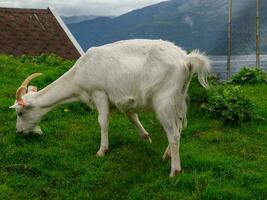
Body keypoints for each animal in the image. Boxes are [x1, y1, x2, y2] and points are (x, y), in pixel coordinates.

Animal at [9, 39, 211, 177]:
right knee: (178, 127)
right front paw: (146, 137)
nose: (18, 132)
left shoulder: (99, 93)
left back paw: (174, 171)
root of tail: (187, 60)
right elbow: (132, 117)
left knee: (173, 133)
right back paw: (167, 155)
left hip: (164, 102)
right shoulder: (123, 100)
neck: (79, 74)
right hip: (178, 99)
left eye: (20, 112)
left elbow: (103, 122)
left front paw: (102, 150)